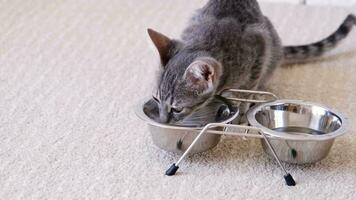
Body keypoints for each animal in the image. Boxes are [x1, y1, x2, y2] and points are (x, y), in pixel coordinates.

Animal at [148, 0, 356, 124]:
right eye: (156, 99)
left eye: (177, 109)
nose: (162, 120)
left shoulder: (259, 51)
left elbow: (246, 95)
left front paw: (240, 114)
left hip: (270, 48)